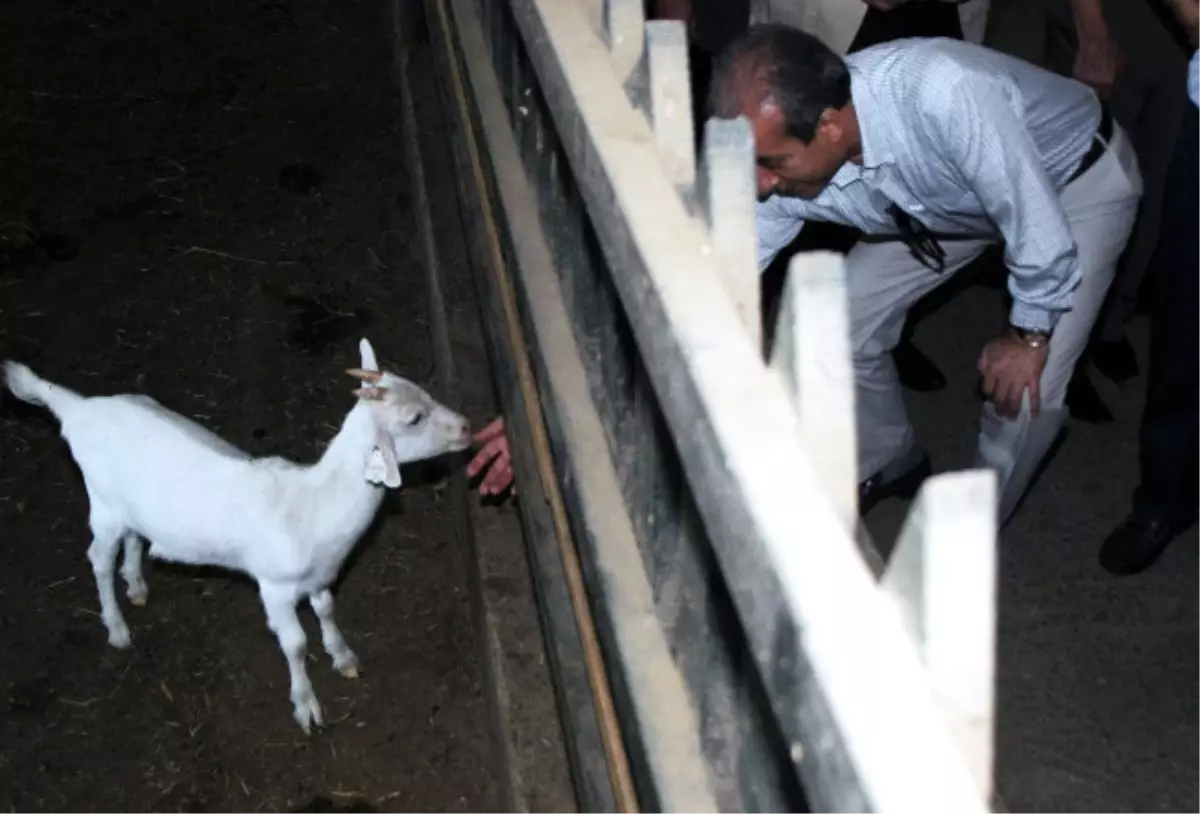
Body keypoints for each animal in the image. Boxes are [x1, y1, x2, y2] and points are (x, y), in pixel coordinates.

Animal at [4, 338, 472, 734]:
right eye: (413, 419)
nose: (468, 427)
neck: (312, 504)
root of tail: (78, 409)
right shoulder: (275, 588)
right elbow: (295, 644)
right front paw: (306, 705)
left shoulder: (320, 575)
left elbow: (325, 609)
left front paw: (343, 656)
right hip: (103, 504)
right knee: (98, 559)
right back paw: (116, 627)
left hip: (134, 508)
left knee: (134, 539)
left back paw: (135, 584)